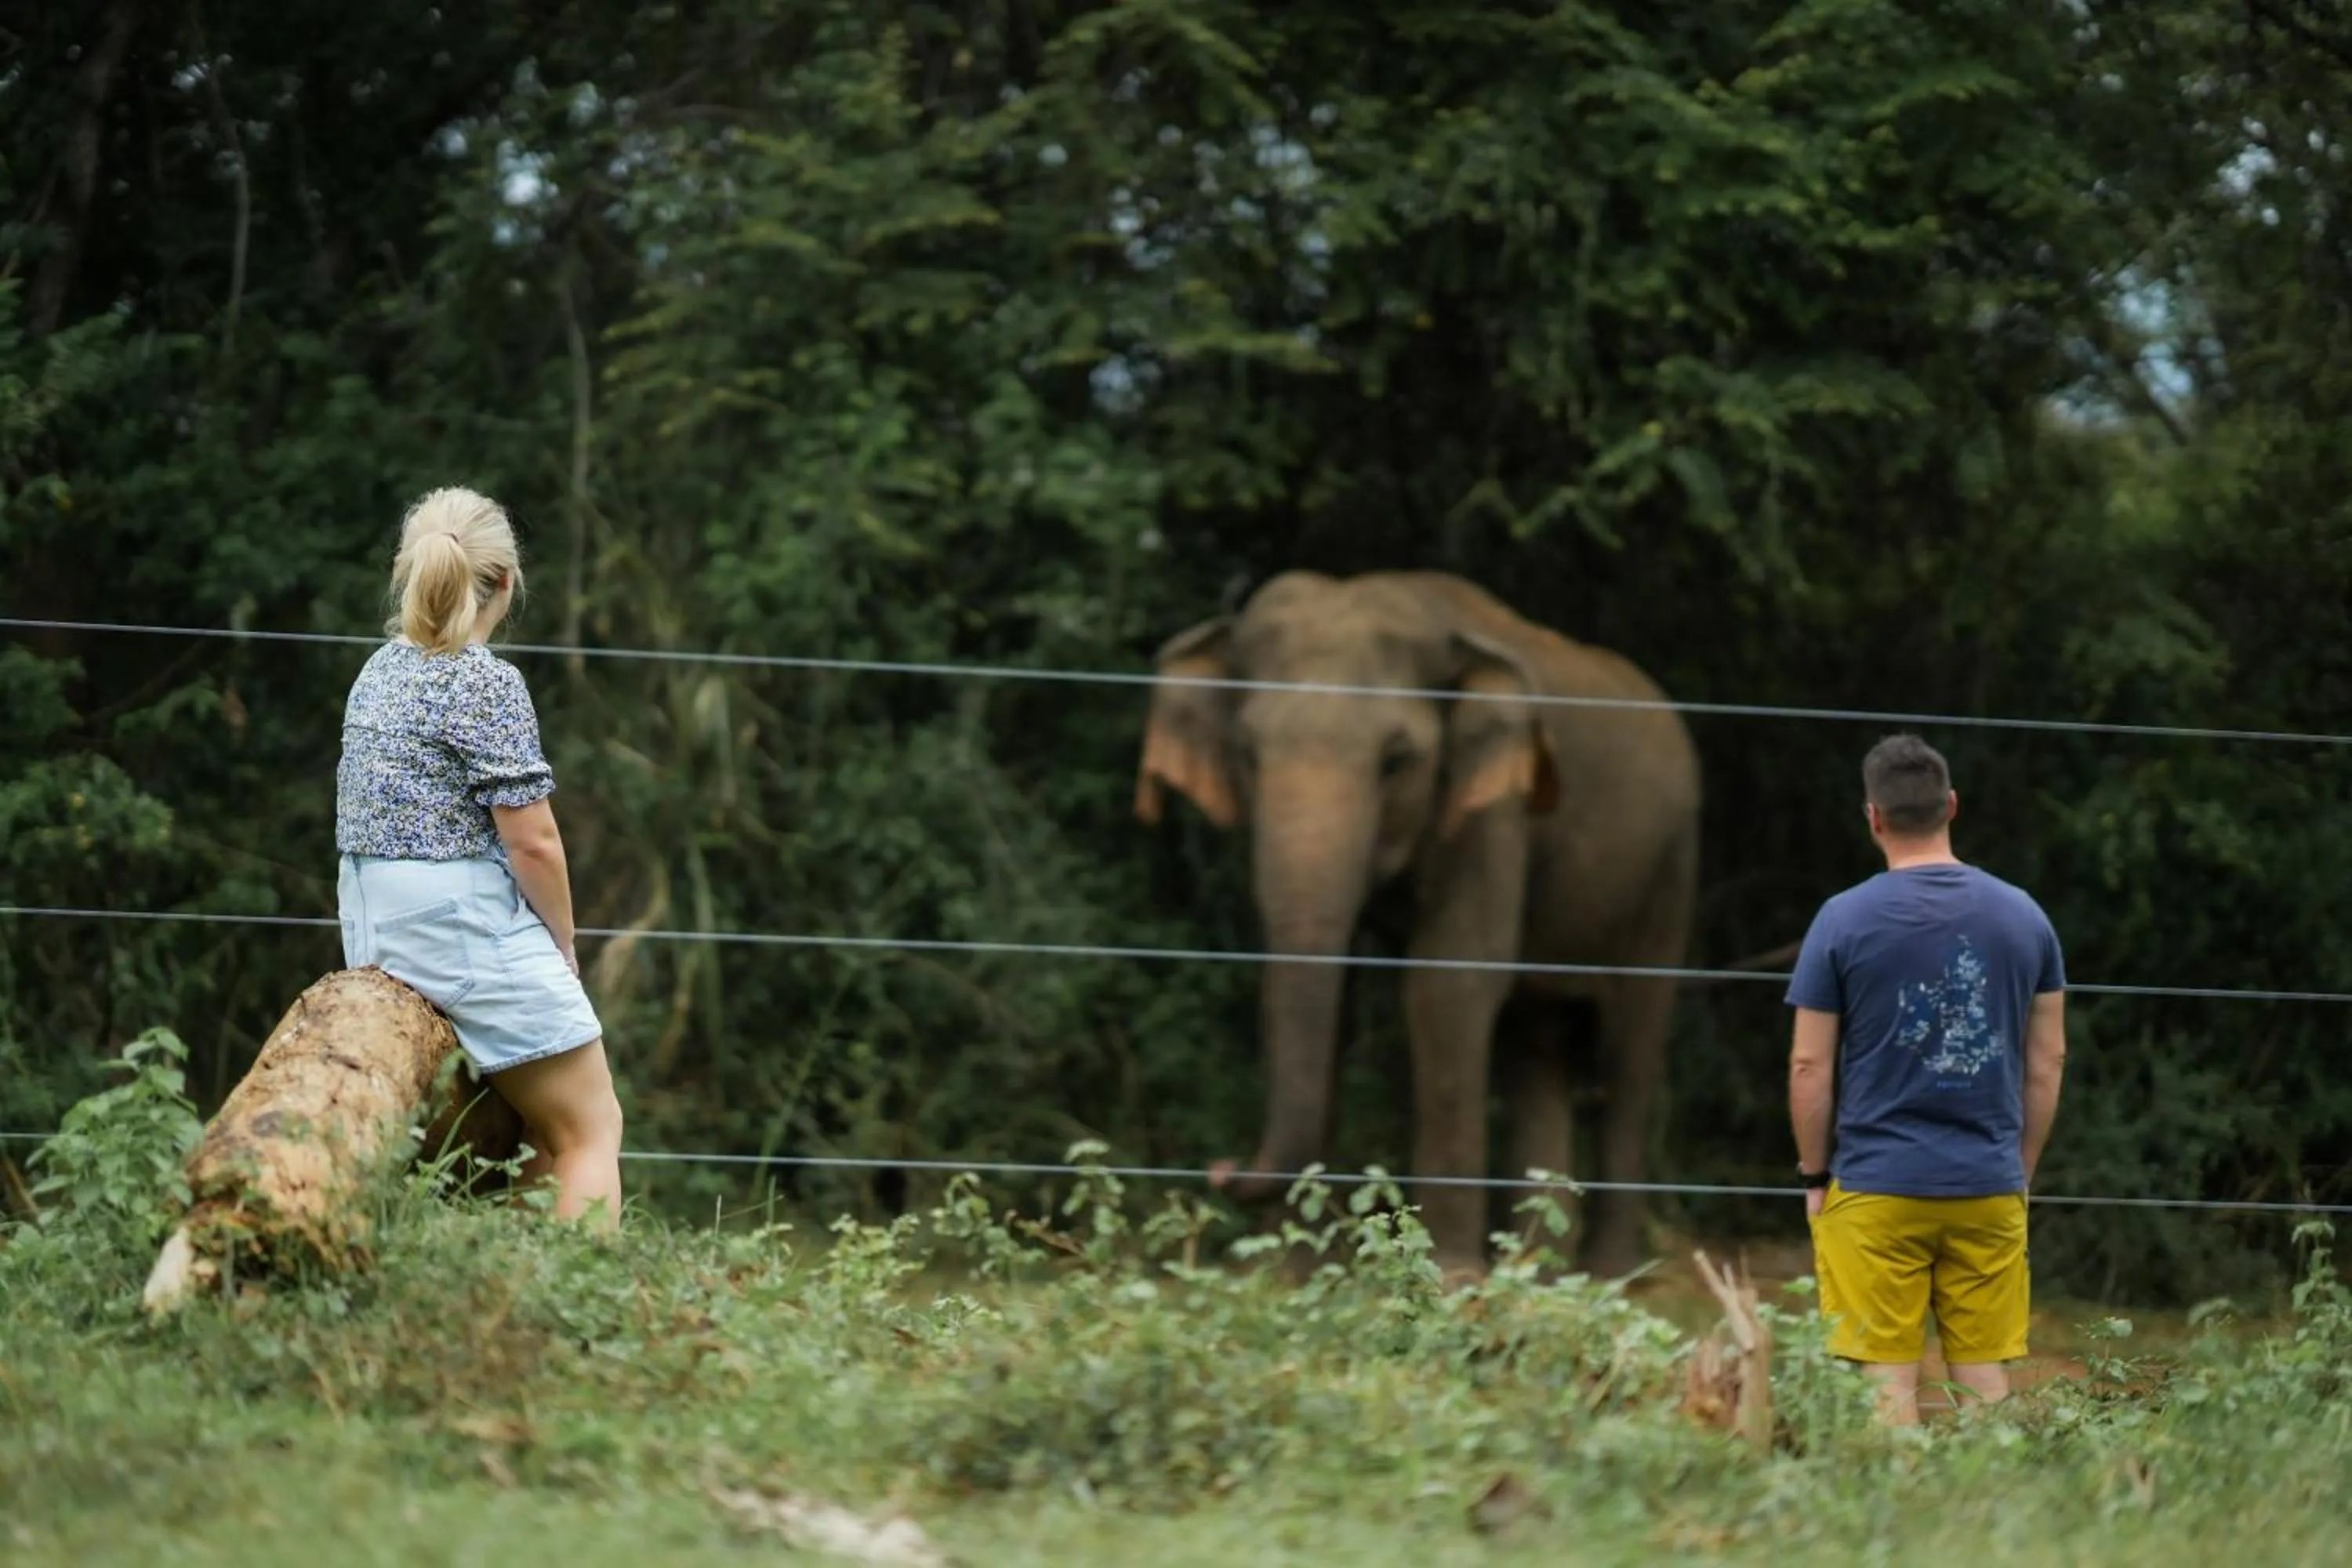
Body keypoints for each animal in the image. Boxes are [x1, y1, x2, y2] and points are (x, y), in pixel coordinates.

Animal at [1133, 570, 1701, 1278]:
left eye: (1396, 761)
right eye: (1247, 753)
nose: (1220, 1167)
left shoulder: (1495, 809)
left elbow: (1449, 985)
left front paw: (1452, 1275)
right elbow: (1331, 991)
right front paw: (1289, 1273)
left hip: (1668, 873)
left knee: (1629, 1054)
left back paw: (1609, 1273)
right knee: (1536, 1044)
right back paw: (1536, 1268)